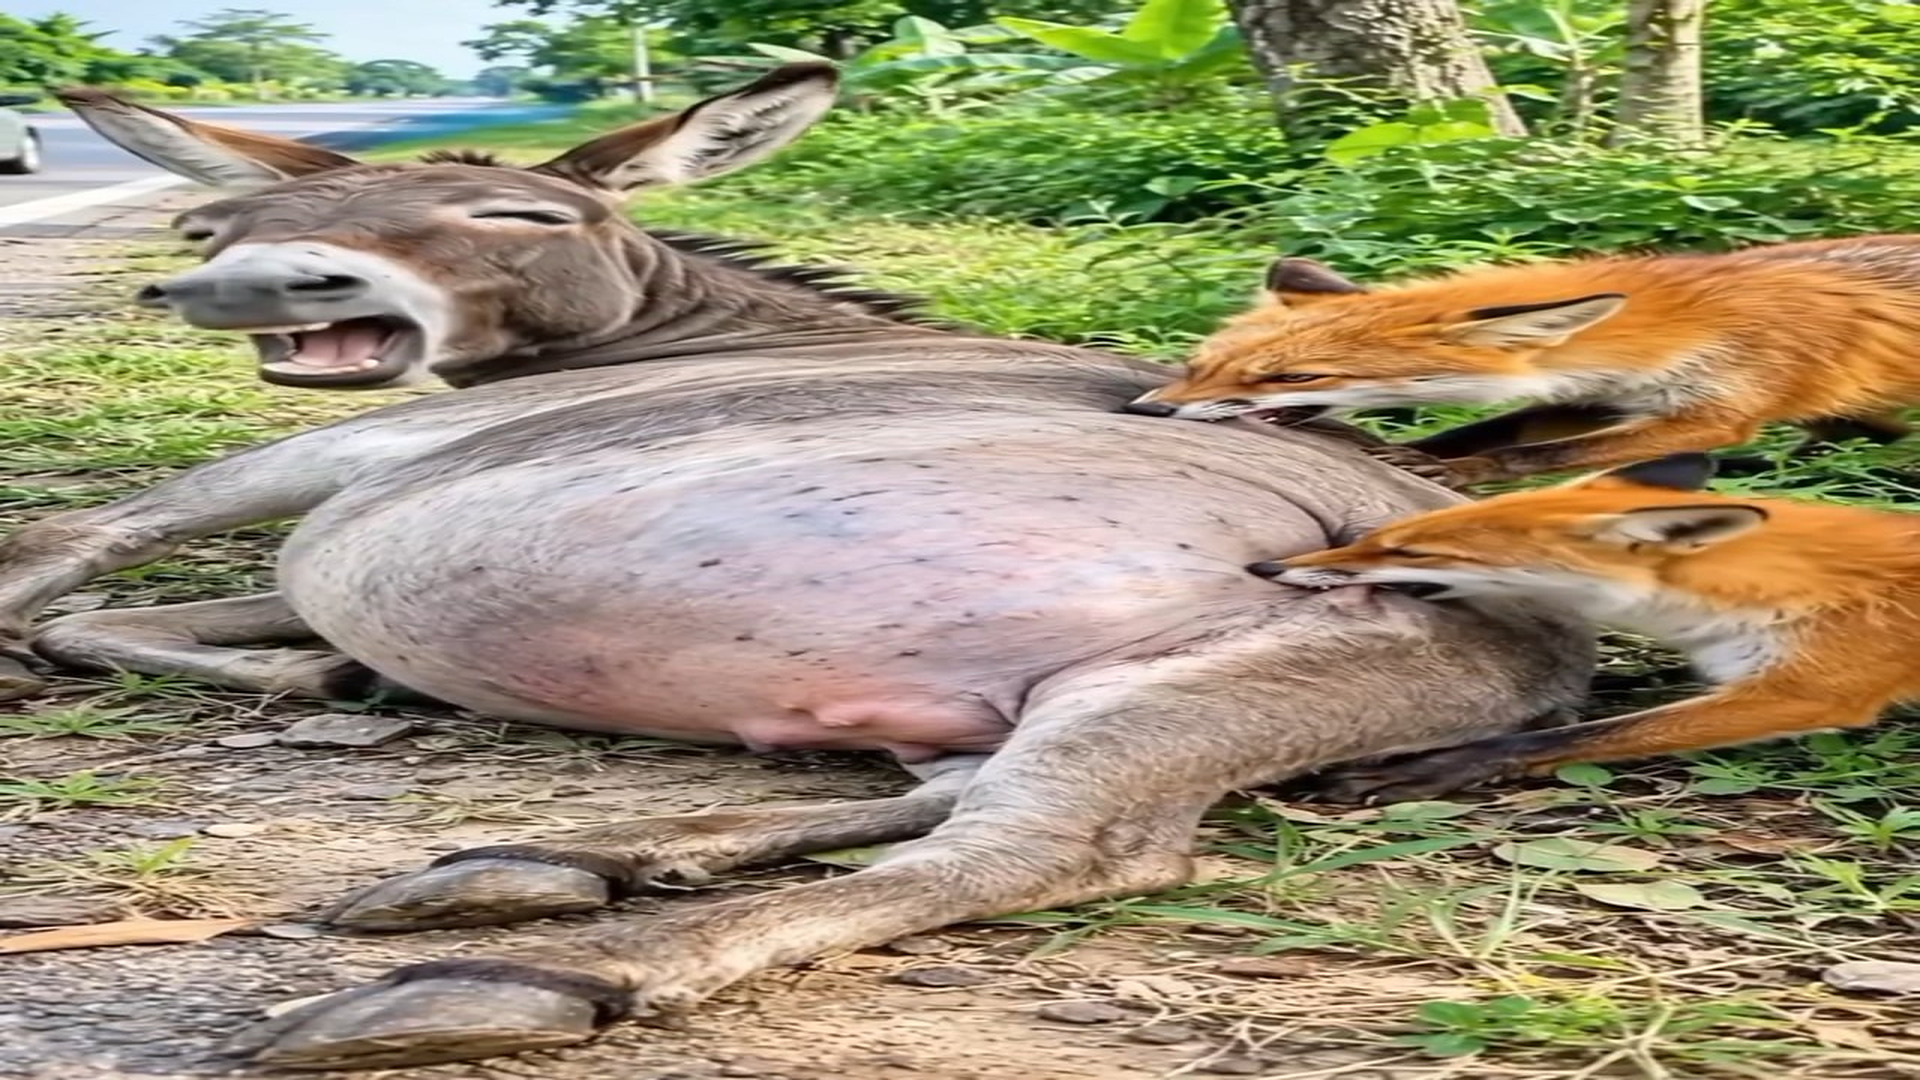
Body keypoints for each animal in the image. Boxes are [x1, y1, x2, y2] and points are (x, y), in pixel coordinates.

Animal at [1123, 236, 1920, 485]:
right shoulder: (1598, 396)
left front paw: (1457, 474)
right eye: (1194, 364)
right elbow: (1488, 431)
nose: (1148, 411)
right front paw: (1416, 456)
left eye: (1294, 378)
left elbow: (1528, 457)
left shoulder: (1716, 413)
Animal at [1250, 452, 1920, 800]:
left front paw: (1436, 768)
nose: (1265, 566)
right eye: (1385, 536)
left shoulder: (1806, 692)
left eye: (1414, 551)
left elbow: (1573, 737)